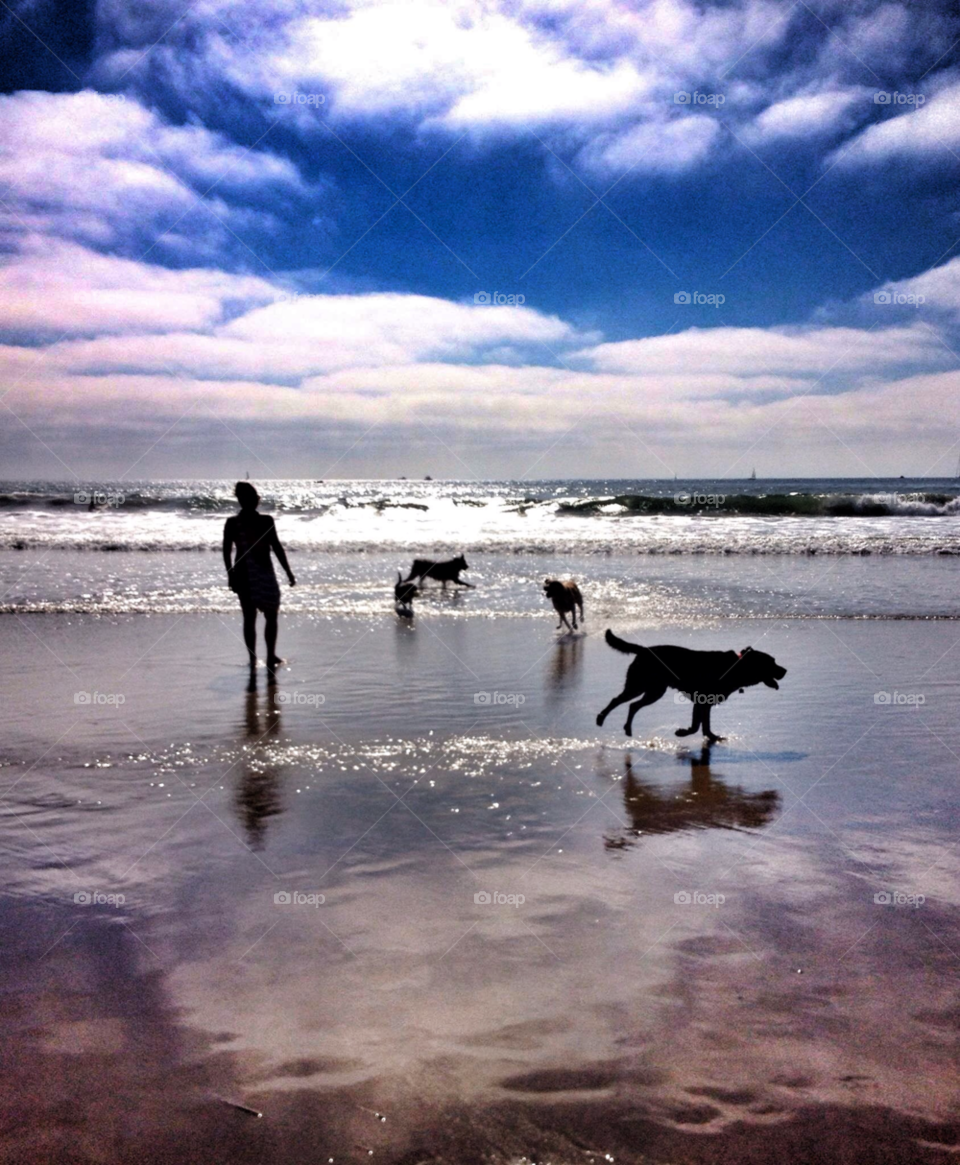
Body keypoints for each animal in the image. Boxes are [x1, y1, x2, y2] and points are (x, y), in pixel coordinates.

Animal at [601, 633, 787, 740]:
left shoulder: (703, 703)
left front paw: (710, 737)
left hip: (654, 690)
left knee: (633, 705)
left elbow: (703, 724)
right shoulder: (702, 701)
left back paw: (627, 728)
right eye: (771, 662)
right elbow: (698, 725)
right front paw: (684, 733)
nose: (785, 671)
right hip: (639, 686)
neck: (737, 667)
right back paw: (601, 719)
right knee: (617, 700)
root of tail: (644, 650)